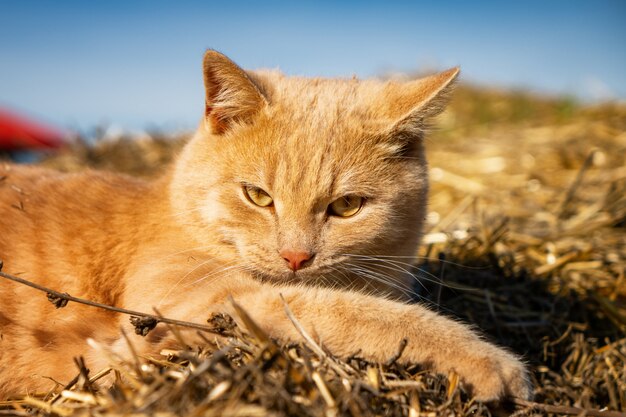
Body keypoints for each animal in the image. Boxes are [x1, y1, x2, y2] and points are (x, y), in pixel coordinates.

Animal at [0, 50, 532, 402]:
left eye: (346, 206)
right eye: (257, 196)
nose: (296, 257)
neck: (171, 212)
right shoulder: (202, 306)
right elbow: (354, 312)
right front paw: (491, 364)